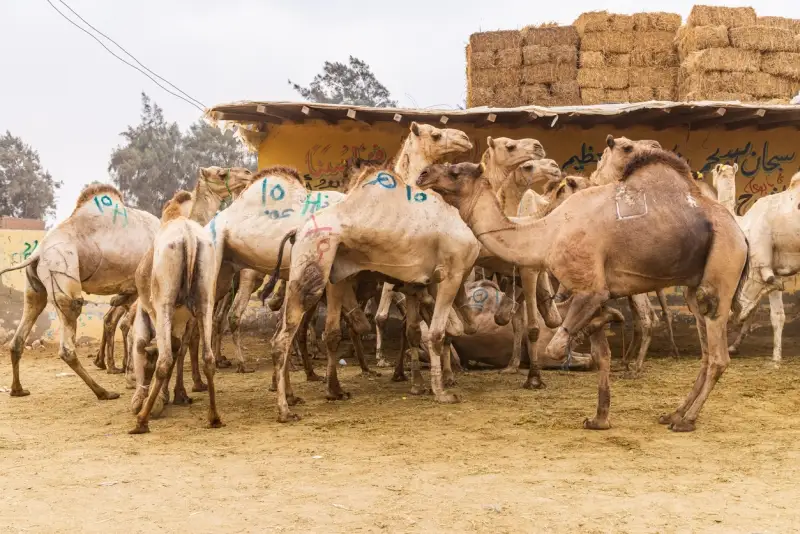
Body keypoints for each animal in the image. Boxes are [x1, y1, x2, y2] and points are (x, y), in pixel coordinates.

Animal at [0, 183, 160, 399]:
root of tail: (38, 252)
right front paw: (132, 377)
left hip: (34, 285)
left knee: (24, 325)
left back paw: (18, 390)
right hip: (62, 269)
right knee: (69, 337)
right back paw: (104, 392)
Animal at [128, 191, 222, 434]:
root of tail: (188, 236)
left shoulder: (153, 311)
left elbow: (160, 349)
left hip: (165, 303)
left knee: (165, 359)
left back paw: (141, 420)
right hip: (206, 300)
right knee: (208, 358)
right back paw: (214, 417)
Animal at [417, 138, 748, 432]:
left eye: (455, 171)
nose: (423, 174)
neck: (548, 232)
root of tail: (740, 233)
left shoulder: (590, 288)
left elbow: (557, 346)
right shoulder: (593, 291)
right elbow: (602, 355)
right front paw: (600, 418)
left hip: (722, 271)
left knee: (718, 356)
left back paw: (686, 420)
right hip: (694, 287)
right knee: (705, 351)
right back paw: (674, 413)